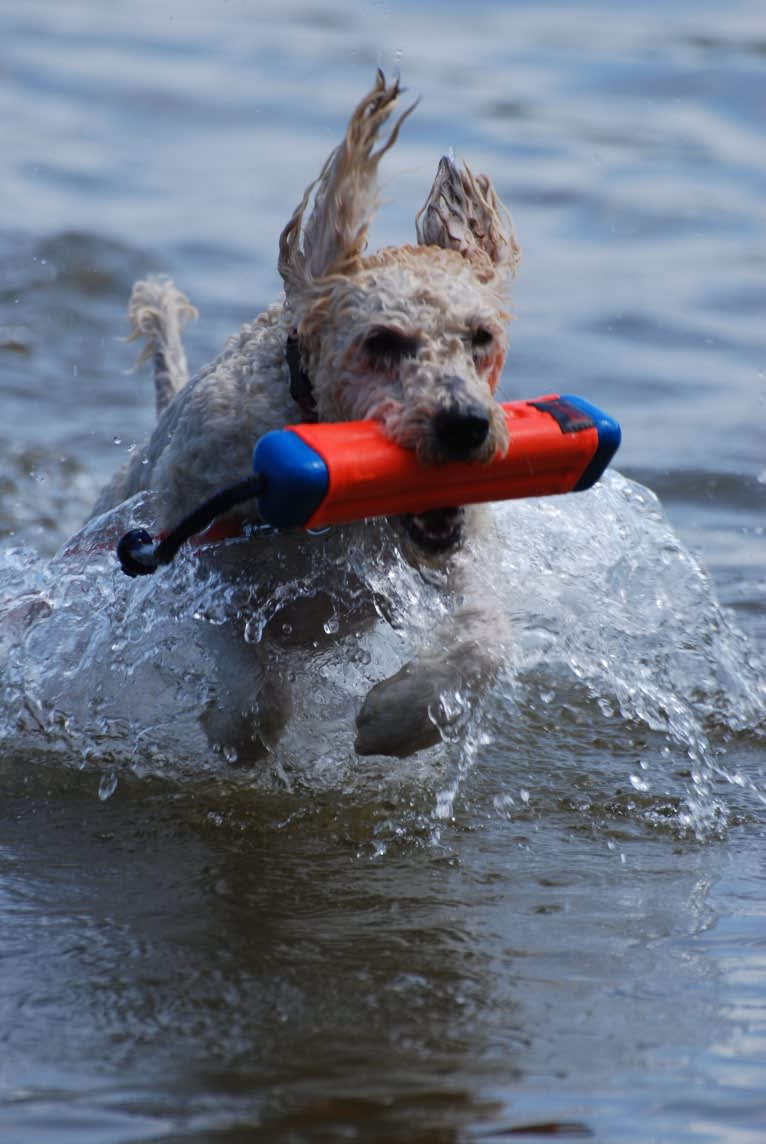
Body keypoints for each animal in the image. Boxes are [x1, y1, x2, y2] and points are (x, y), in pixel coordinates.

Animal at [93, 76, 519, 764]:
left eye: (481, 337)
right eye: (381, 341)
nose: (465, 426)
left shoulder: (458, 549)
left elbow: (487, 638)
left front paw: (398, 718)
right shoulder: (193, 554)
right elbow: (250, 689)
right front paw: (232, 726)